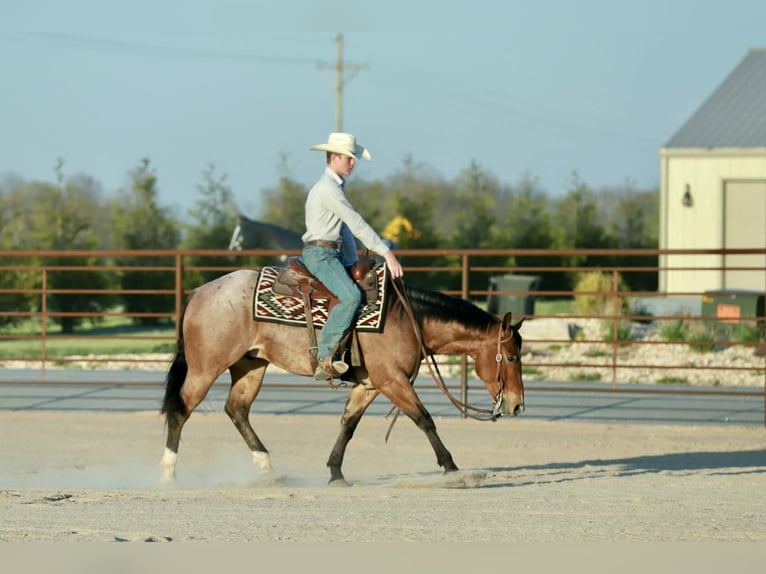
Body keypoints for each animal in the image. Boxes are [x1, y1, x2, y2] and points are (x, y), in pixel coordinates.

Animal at [160, 266, 525, 485]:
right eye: (510, 356)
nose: (518, 406)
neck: (408, 318)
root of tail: (200, 292)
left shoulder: (370, 384)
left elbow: (348, 425)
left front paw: (335, 472)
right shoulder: (392, 380)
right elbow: (424, 419)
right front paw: (452, 469)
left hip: (250, 365)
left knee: (236, 409)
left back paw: (269, 470)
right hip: (206, 366)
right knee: (181, 409)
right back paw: (168, 474)